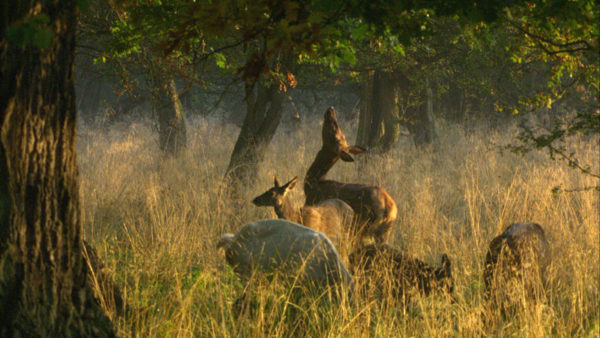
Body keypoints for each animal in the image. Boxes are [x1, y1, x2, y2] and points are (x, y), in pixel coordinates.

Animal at [304, 107, 398, 246]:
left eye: (334, 133)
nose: (331, 109)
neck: (314, 183)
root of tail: (390, 208)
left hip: (363, 227)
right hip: (384, 232)